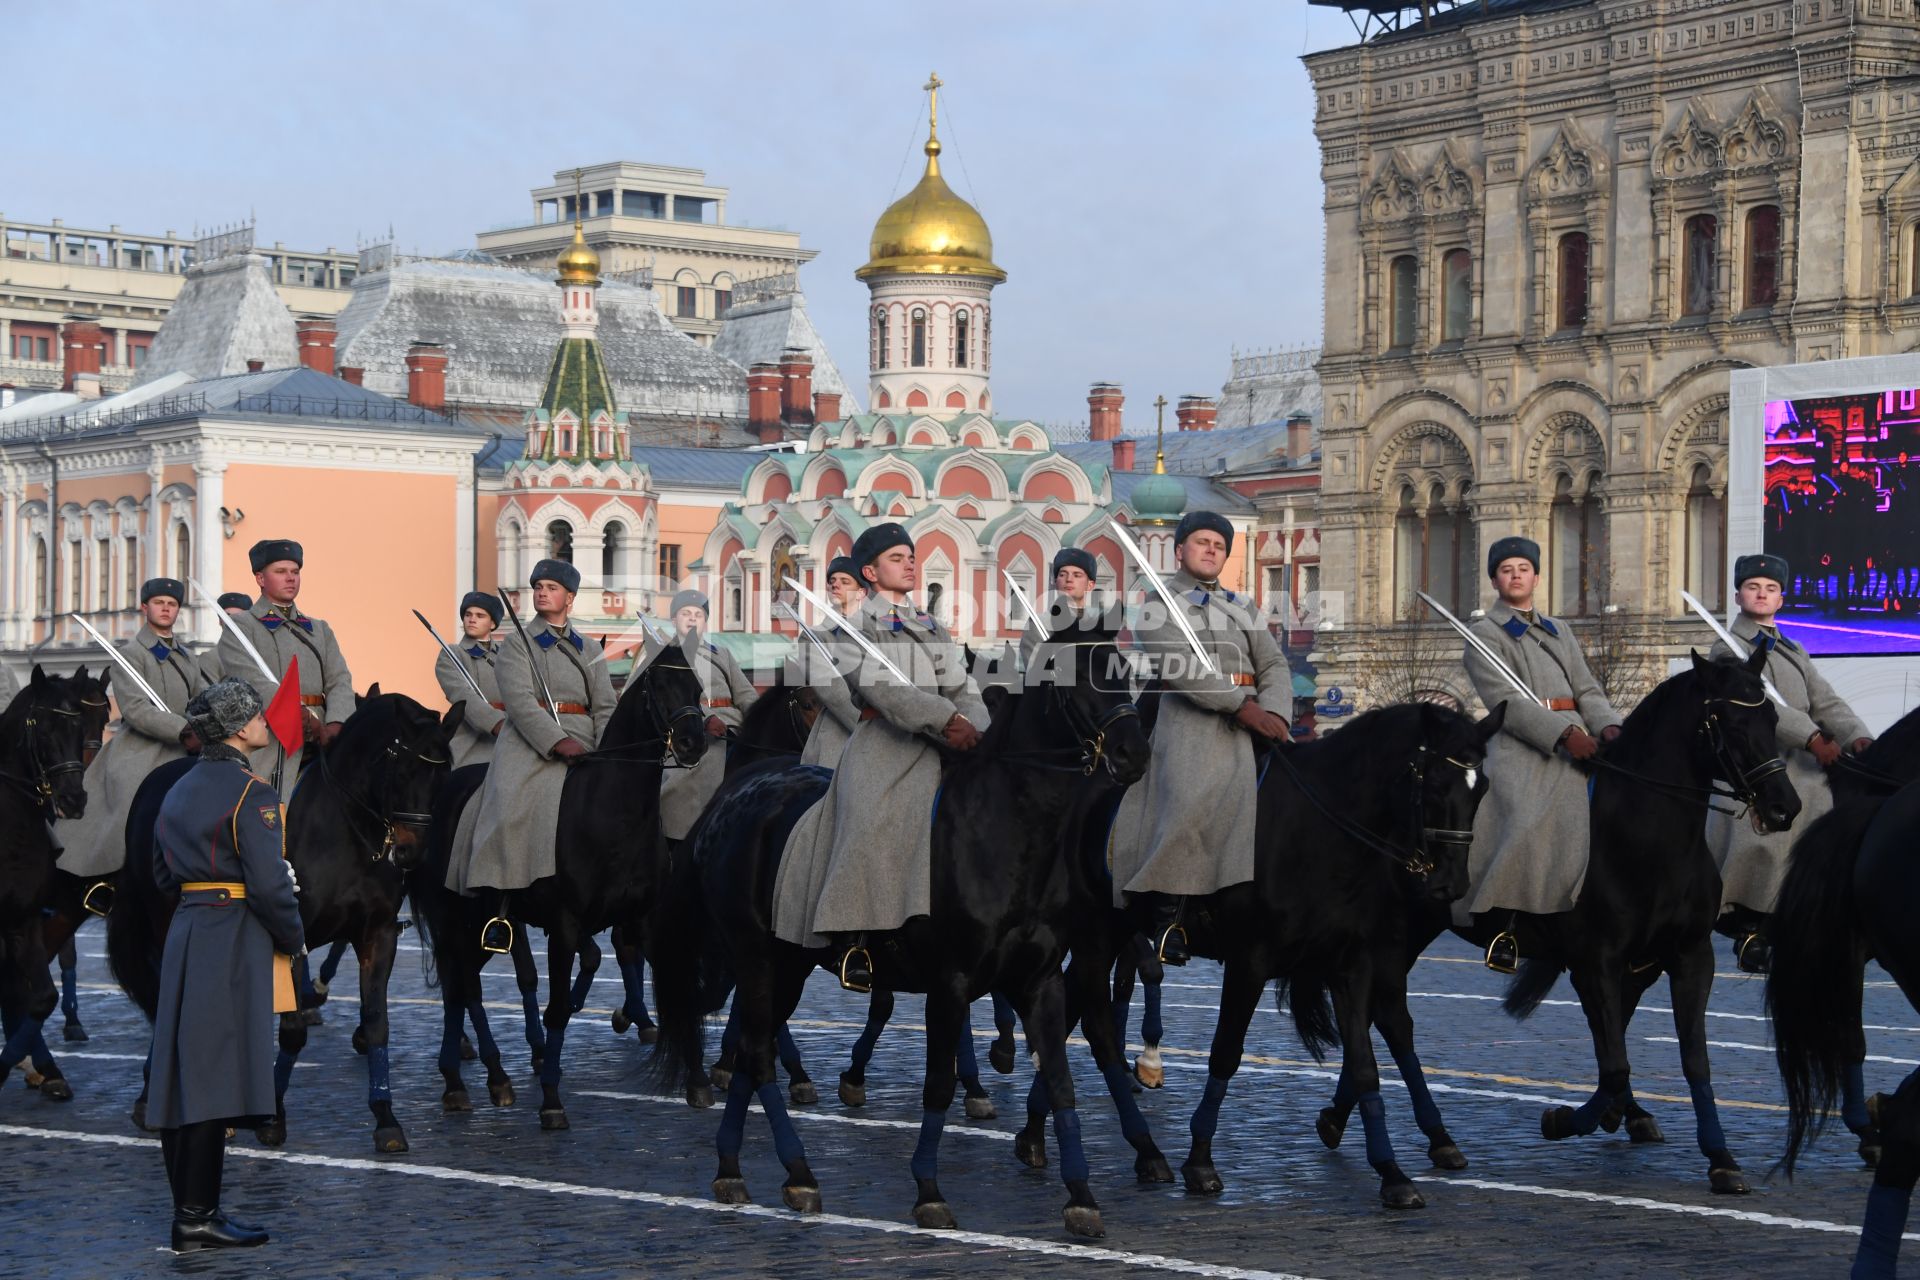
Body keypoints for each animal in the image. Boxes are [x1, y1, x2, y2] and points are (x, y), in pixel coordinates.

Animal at [109, 690, 460, 1151]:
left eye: (445, 774)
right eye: (402, 770)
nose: (410, 852)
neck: (345, 830)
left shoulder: (378, 936)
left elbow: (377, 1024)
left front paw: (385, 1118)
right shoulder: (294, 934)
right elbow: (292, 1027)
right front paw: (274, 1116)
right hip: (168, 921)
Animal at [420, 644, 714, 1128]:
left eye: (696, 687)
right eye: (658, 686)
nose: (694, 743)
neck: (615, 815)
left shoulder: (645, 921)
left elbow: (672, 986)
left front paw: (698, 1080)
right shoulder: (564, 925)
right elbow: (557, 1006)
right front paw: (551, 1098)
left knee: (463, 983)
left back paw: (487, 1078)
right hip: (453, 921)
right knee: (458, 986)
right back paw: (461, 1080)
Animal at [652, 614, 1144, 1235]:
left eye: (1124, 672)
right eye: (1073, 675)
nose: (1134, 752)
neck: (1007, 835)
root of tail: (728, 798)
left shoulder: (1043, 982)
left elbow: (1060, 1080)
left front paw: (1081, 1194)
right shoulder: (951, 982)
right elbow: (937, 1085)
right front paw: (929, 1188)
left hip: (786, 965)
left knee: (751, 1048)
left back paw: (735, 1166)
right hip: (758, 959)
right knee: (757, 1053)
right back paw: (798, 1171)